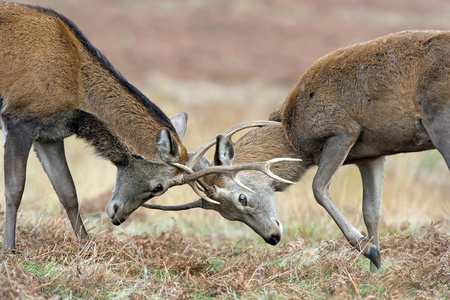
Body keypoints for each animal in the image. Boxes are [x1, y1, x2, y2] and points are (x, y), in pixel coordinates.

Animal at [143, 30, 450, 272]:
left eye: (242, 197)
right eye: (225, 215)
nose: (273, 237)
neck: (295, 139)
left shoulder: (343, 132)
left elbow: (318, 188)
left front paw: (367, 249)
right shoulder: (372, 155)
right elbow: (371, 211)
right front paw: (376, 271)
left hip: (440, 122)